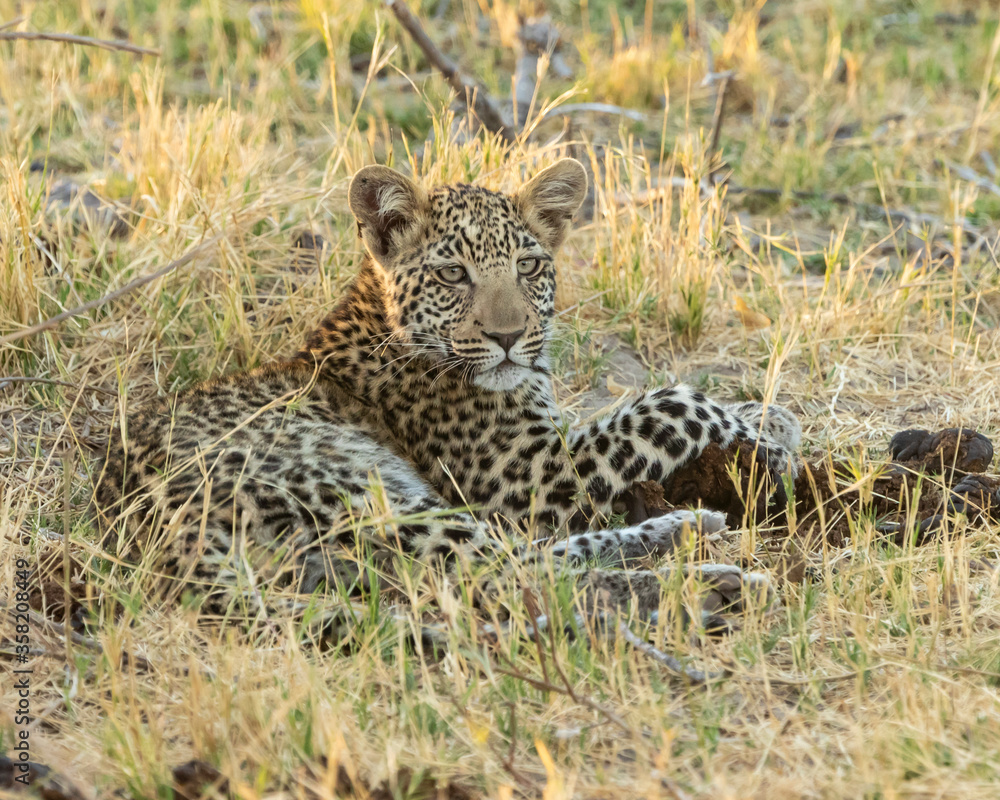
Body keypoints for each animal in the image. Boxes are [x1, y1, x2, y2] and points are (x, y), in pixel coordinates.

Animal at [93, 158, 801, 634]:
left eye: (529, 266)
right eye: (453, 274)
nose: (509, 337)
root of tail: (151, 530)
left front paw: (768, 416)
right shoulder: (528, 476)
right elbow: (668, 404)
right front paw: (770, 440)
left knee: (519, 568)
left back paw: (690, 542)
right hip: (374, 493)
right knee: (515, 574)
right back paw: (711, 575)